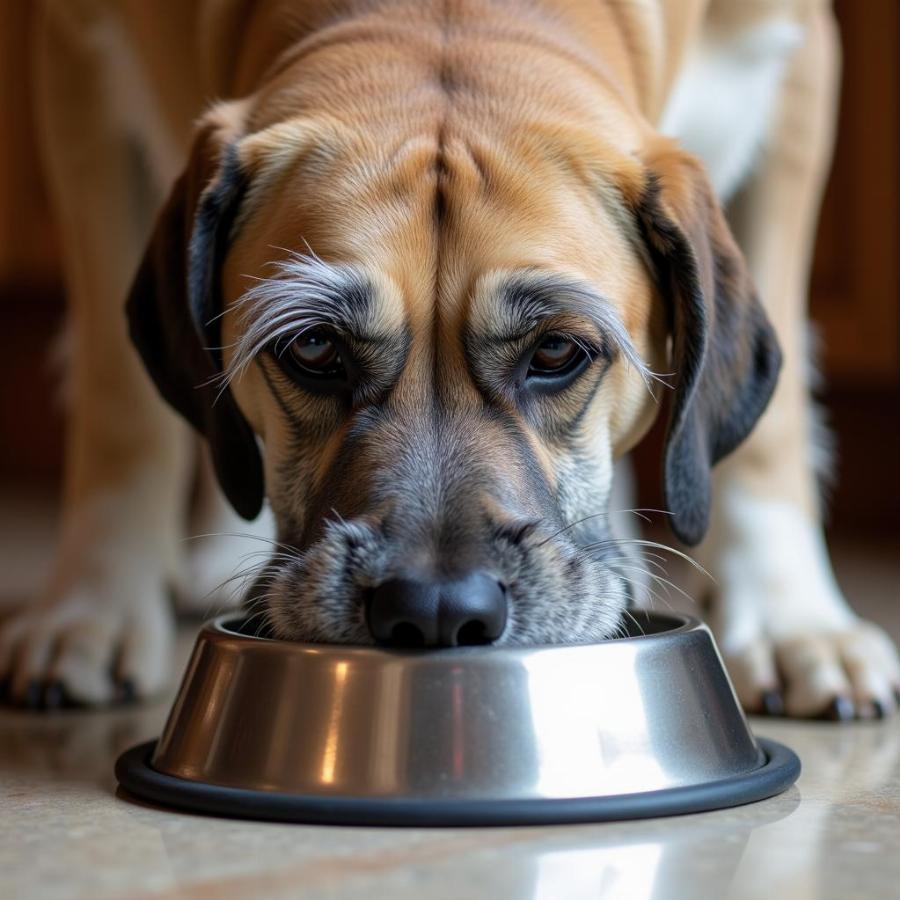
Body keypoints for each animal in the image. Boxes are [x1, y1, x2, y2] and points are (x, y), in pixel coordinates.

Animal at [3, 0, 896, 716]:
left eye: (558, 350)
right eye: (314, 346)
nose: (435, 611)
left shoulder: (797, 67)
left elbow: (776, 425)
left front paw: (791, 620)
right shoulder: (74, 56)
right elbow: (120, 404)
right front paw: (92, 607)